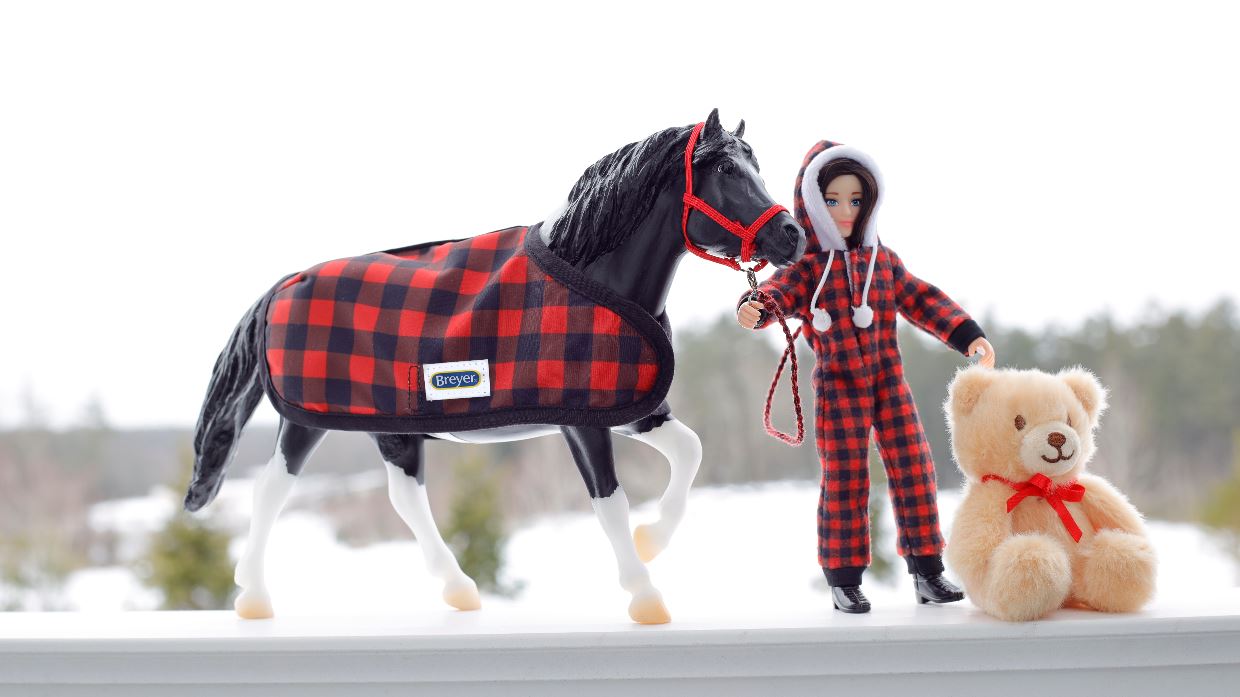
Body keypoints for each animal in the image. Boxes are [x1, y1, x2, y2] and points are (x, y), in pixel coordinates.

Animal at [183, 109, 803, 625]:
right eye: (726, 168)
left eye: (755, 165)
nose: (791, 235)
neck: (592, 275)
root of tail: (284, 286)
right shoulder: (581, 422)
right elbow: (610, 502)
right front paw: (645, 595)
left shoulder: (628, 409)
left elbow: (690, 451)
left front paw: (653, 540)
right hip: (305, 419)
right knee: (271, 491)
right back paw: (253, 598)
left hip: (392, 426)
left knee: (404, 498)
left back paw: (458, 590)